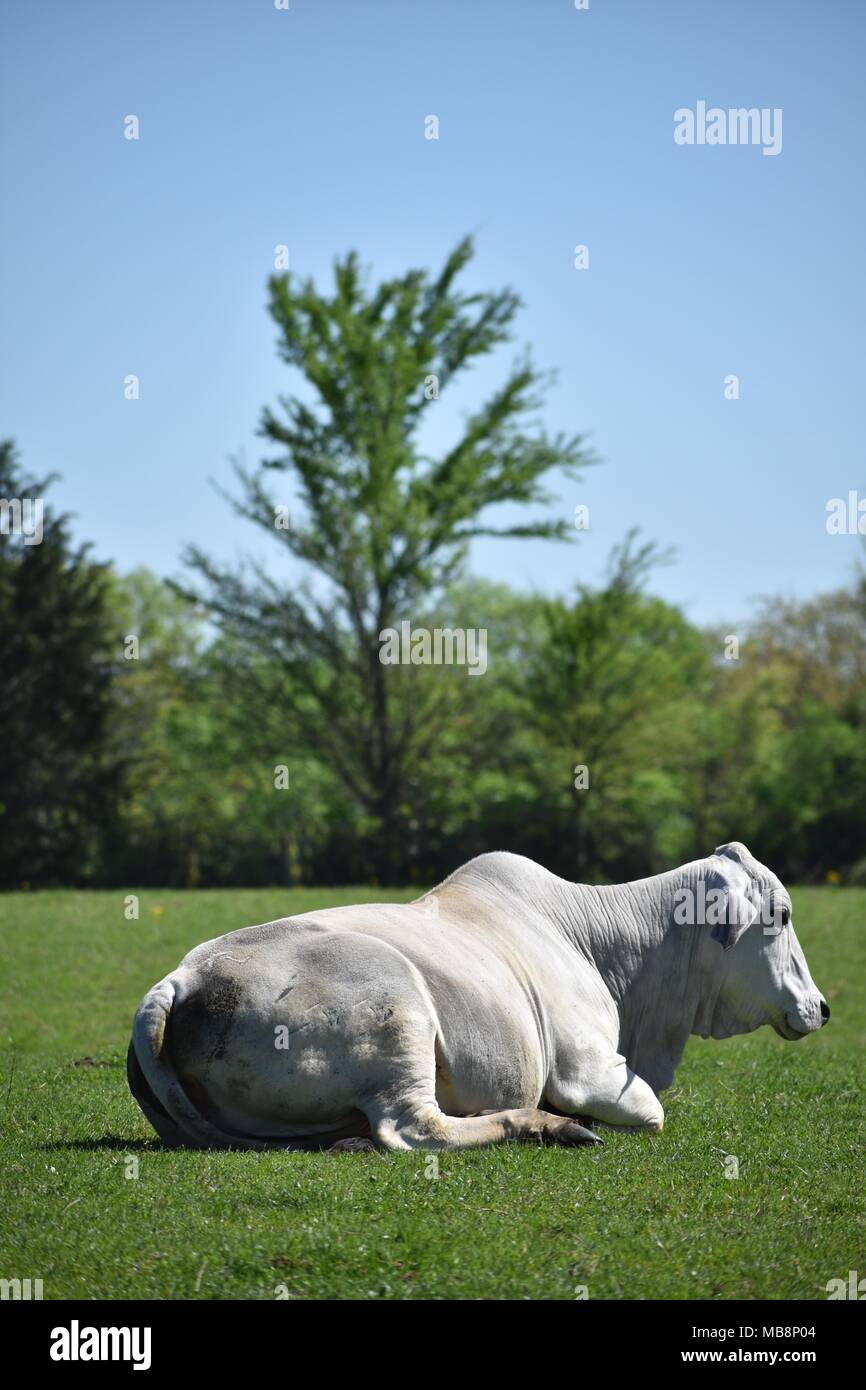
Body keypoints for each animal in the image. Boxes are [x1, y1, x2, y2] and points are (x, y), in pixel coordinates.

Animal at [127, 842, 829, 1152]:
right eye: (783, 915)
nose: (822, 1007)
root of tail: (181, 979)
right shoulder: (592, 1071)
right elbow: (649, 1112)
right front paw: (572, 1117)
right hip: (398, 1014)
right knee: (413, 1129)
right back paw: (548, 1125)